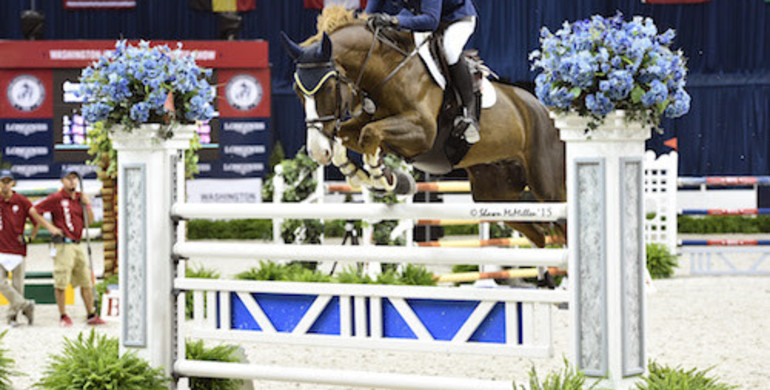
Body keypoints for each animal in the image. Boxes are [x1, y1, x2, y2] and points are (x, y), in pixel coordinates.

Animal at [282, 7, 564, 247]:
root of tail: (544, 110)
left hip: (548, 187)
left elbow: (368, 135)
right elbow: (348, 137)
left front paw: (384, 178)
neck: (388, 70)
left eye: (329, 87)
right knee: (539, 235)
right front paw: (365, 174)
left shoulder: (423, 133)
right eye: (296, 90)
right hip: (494, 193)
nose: (317, 151)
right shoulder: (370, 122)